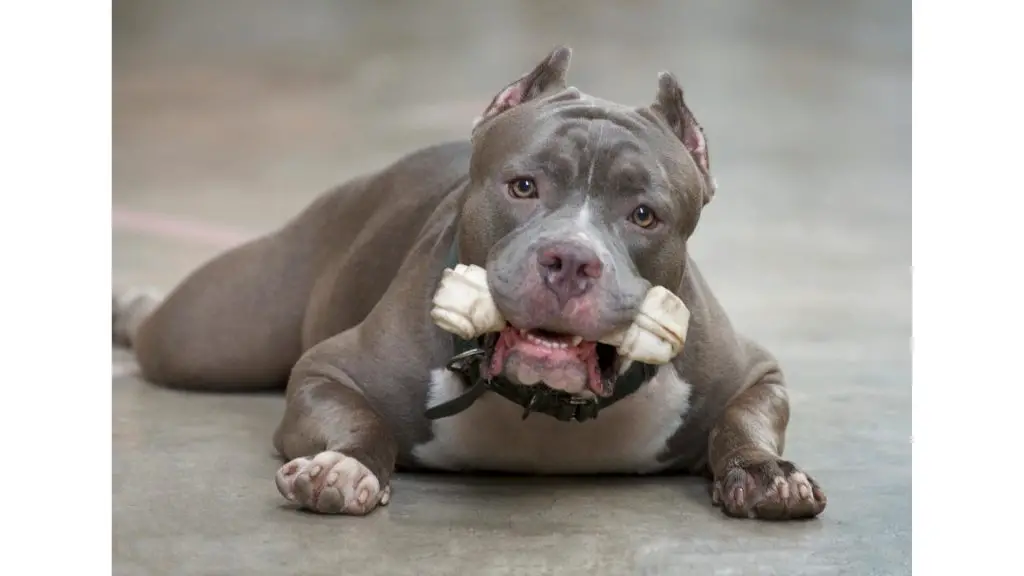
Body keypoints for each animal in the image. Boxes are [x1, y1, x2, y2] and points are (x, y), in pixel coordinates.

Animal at [116, 47, 827, 518]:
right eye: (523, 186)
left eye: (645, 215)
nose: (570, 259)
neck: (545, 403)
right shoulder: (326, 371)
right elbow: (359, 421)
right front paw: (343, 467)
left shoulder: (753, 373)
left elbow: (743, 422)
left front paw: (767, 474)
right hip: (208, 337)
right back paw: (128, 307)